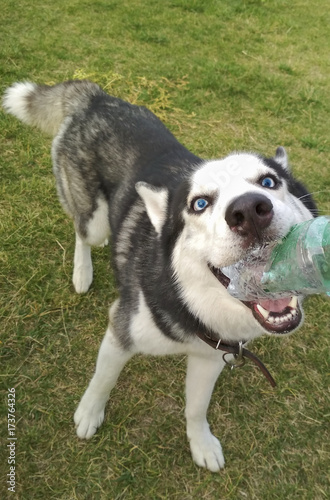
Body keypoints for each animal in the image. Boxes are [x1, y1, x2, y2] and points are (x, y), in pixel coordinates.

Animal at [3, 80, 318, 470]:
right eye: (200, 204)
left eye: (269, 181)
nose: (248, 210)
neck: (189, 302)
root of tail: (97, 96)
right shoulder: (121, 330)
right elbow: (103, 379)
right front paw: (89, 413)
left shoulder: (211, 356)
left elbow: (196, 408)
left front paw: (201, 443)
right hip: (93, 217)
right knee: (82, 230)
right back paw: (82, 271)